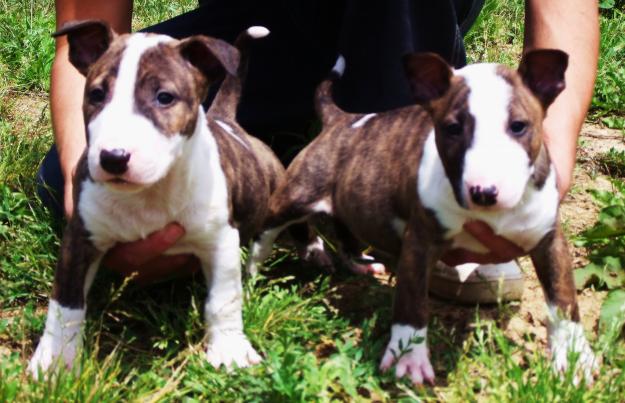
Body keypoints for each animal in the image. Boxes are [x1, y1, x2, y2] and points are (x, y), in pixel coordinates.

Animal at [28, 20, 282, 378]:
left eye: (164, 97)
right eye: (96, 95)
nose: (113, 158)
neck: (148, 194)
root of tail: (227, 121)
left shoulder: (220, 238)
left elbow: (223, 299)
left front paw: (229, 350)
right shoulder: (81, 235)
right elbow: (65, 302)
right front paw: (54, 360)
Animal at [246, 49, 596, 386]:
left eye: (519, 126)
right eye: (453, 128)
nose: (484, 192)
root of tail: (341, 120)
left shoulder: (549, 240)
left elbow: (564, 299)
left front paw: (575, 358)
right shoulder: (420, 241)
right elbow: (411, 301)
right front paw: (408, 359)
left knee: (345, 229)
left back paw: (359, 263)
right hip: (296, 195)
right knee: (265, 235)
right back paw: (252, 276)